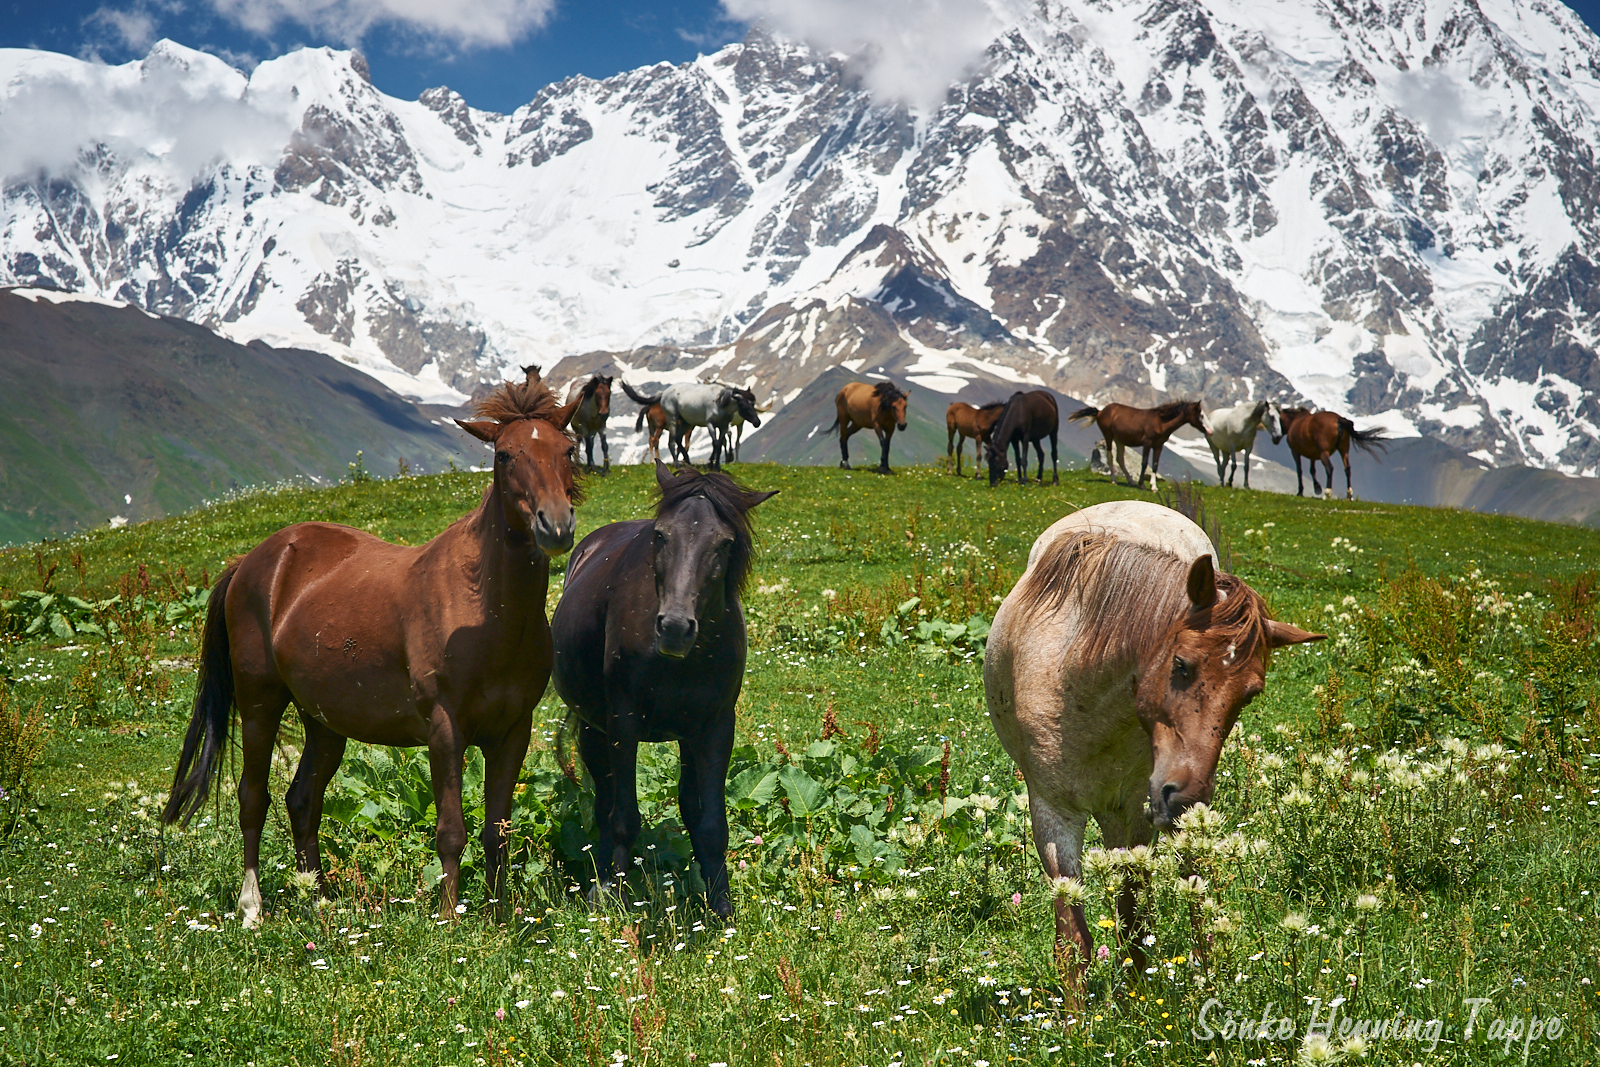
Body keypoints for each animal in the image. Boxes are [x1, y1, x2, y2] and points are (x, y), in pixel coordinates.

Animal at [162, 377, 585, 927]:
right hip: (259, 704)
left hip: (325, 723)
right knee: (253, 797)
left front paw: (501, 918)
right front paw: (450, 921)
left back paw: (318, 897)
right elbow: (452, 831)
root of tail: (252, 561)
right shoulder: (445, 730)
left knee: (302, 800)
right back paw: (252, 907)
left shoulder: (513, 732)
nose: (555, 526)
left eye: (567, 450)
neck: (483, 608)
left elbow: (498, 831)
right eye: (505, 454)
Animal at [985, 502, 1324, 985]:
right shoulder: (1053, 813)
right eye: (1181, 665)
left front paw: (1139, 993)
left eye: (1250, 694)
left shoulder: (1136, 809)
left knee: (1189, 885)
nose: (1186, 797)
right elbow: (1074, 942)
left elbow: (1135, 920)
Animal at [1062, 399, 1209, 489]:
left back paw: (1130, 481)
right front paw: (1142, 484)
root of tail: (1100, 411)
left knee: (1120, 459)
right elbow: (1144, 463)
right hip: (1109, 437)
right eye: (1201, 415)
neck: (1160, 422)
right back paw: (1115, 480)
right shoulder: (1147, 443)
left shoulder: (1158, 445)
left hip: (1119, 440)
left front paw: (1154, 487)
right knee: (1110, 457)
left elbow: (1155, 464)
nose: (1209, 431)